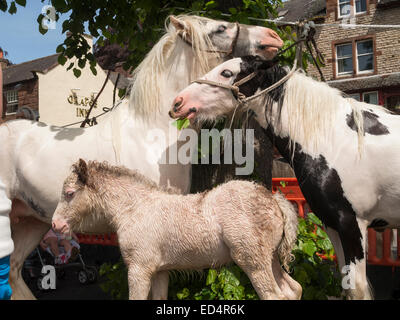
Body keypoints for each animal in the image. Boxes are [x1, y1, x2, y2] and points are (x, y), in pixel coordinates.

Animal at [170, 56, 400, 298]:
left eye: (226, 73)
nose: (178, 102)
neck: (334, 140)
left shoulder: (352, 225)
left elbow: (356, 288)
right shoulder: (333, 225)